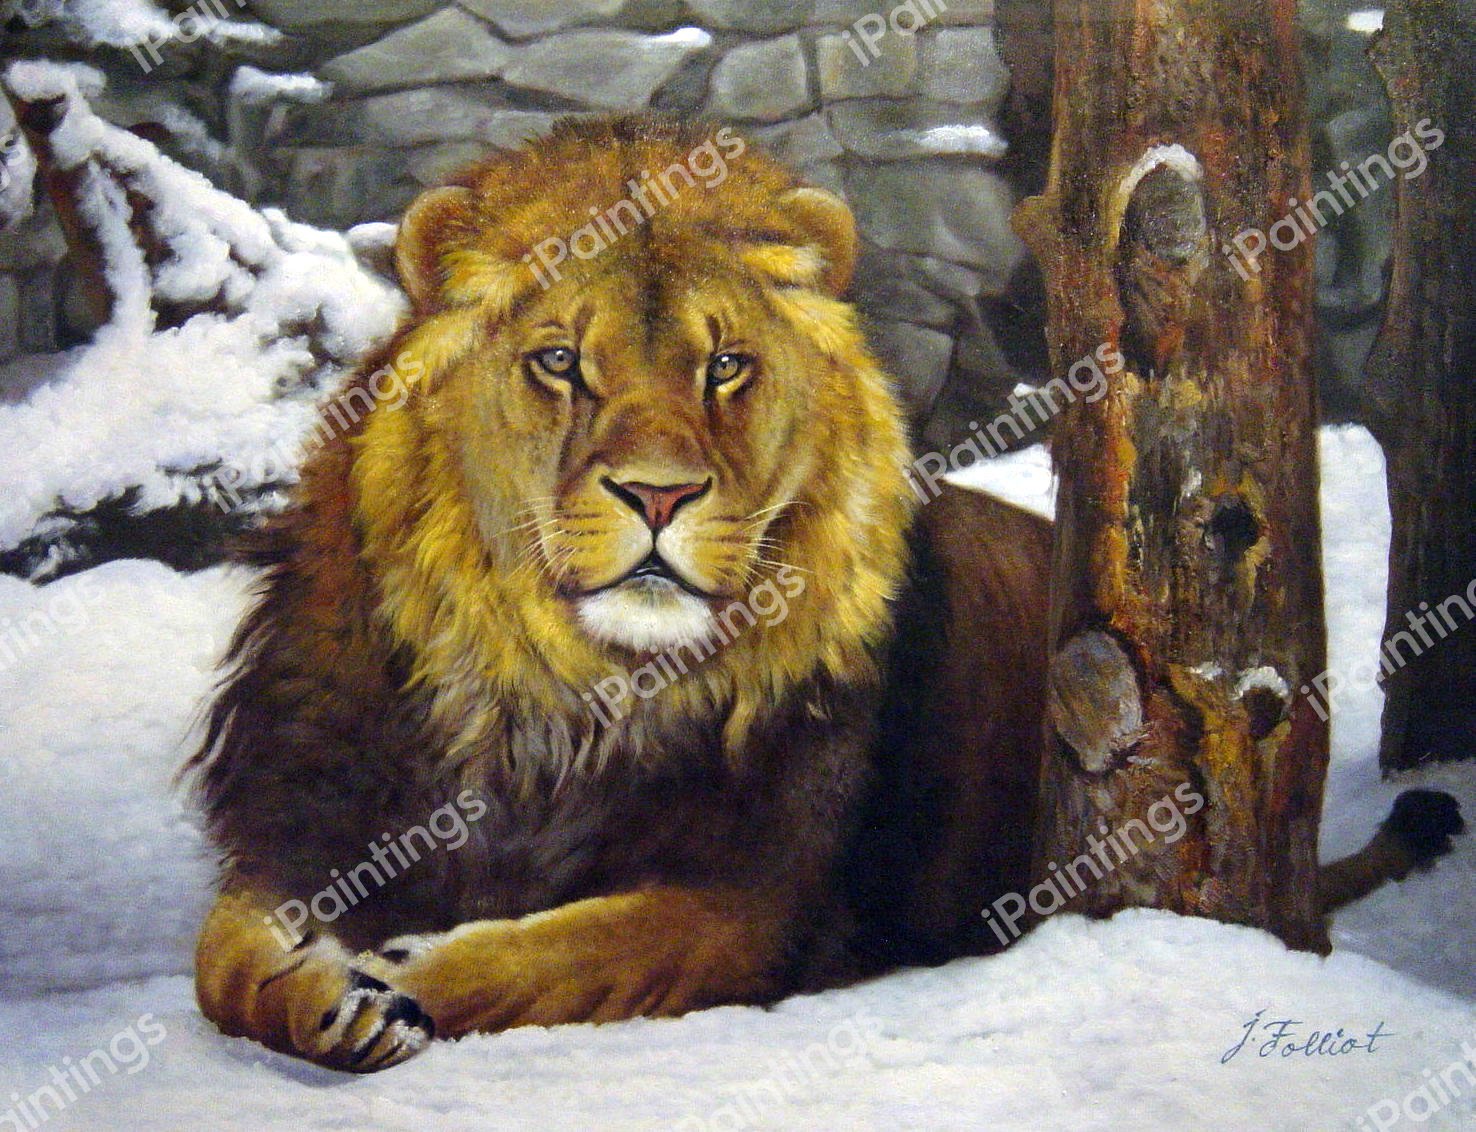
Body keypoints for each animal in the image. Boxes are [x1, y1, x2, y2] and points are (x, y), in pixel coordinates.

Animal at [190, 116, 1461, 1073]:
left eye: (724, 366)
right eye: (559, 362)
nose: (659, 493)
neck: (561, 688)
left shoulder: (754, 901)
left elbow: (568, 950)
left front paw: (407, 973)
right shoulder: (305, 819)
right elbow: (223, 957)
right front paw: (329, 994)